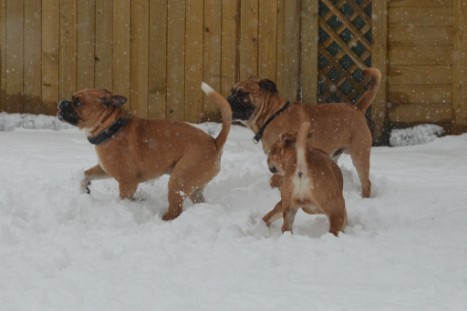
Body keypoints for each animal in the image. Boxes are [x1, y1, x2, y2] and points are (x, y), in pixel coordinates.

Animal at [58, 81, 232, 221]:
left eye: (78, 102)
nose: (61, 102)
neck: (111, 127)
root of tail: (215, 143)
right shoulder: (104, 169)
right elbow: (85, 176)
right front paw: (84, 189)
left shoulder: (128, 182)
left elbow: (124, 199)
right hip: (193, 187)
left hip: (178, 181)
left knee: (175, 210)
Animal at [229, 68, 382, 197]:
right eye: (232, 91)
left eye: (242, 93)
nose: (228, 99)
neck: (271, 115)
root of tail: (357, 108)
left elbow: (275, 179)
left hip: (359, 155)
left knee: (366, 183)